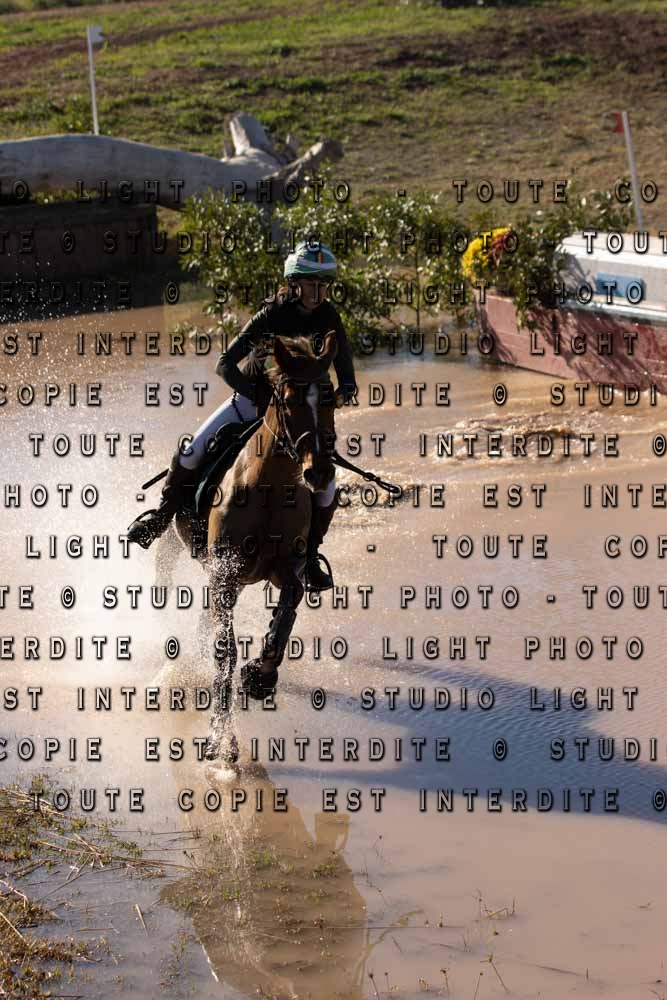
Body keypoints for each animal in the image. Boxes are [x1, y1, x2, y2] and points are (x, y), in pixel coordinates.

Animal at [159, 331, 339, 762]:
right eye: (288, 401)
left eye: (331, 398)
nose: (320, 473)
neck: (270, 491)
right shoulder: (224, 576)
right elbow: (225, 651)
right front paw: (219, 741)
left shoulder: (287, 571)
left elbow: (285, 617)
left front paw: (260, 677)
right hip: (178, 542)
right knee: (163, 564)